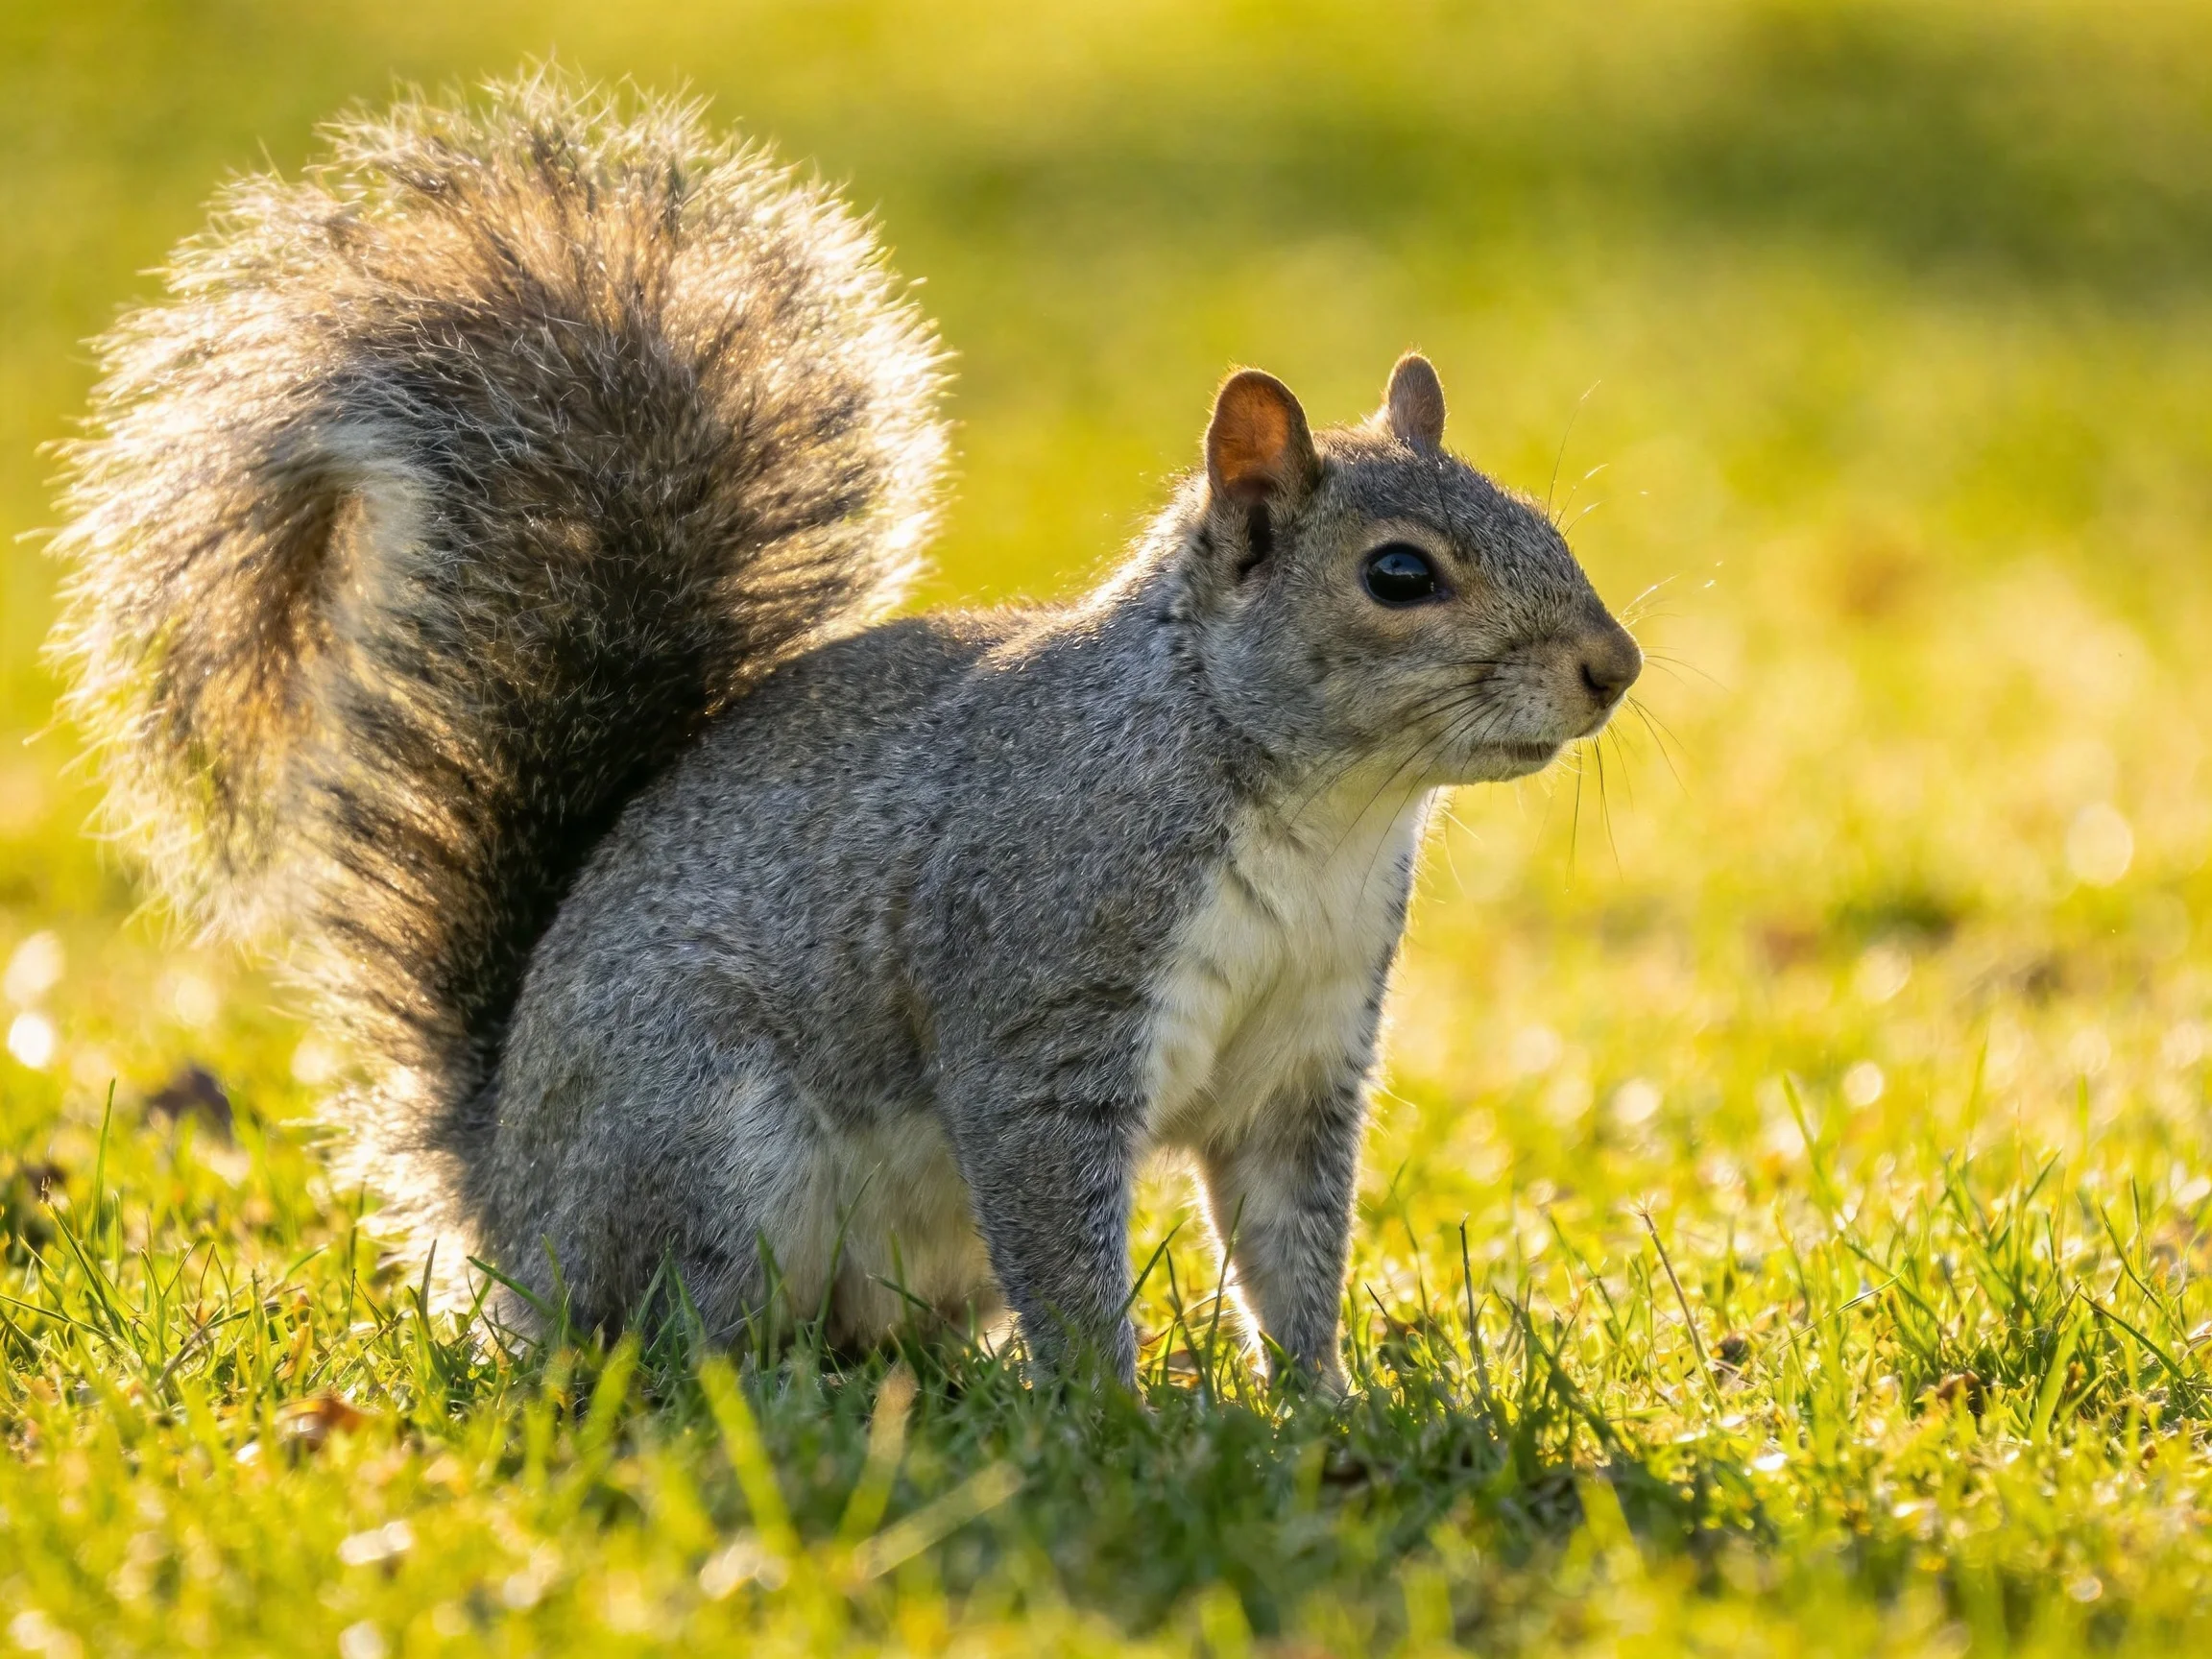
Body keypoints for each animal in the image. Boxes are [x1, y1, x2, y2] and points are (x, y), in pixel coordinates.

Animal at [47, 73, 1640, 1388]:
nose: (1613, 668)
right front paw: (1116, 1418)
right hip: (706, 1143)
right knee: (667, 1333)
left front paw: (1319, 1409)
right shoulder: (1037, 993)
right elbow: (1064, 1239)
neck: (1312, 805)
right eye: (1399, 576)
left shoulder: (1304, 1060)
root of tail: (508, 1203)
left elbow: (1292, 1251)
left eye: (1542, 517)